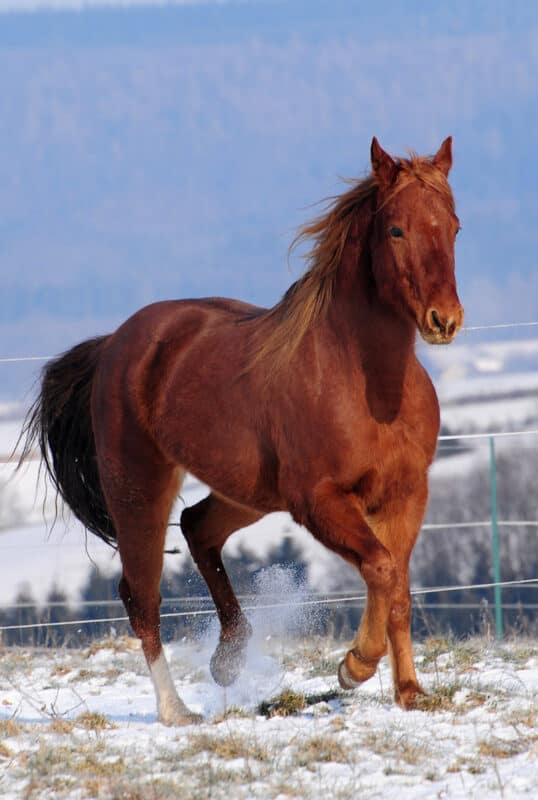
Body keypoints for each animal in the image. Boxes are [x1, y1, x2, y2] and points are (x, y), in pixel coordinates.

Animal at [21, 138, 460, 724]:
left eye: (454, 225)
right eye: (396, 230)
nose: (445, 320)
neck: (368, 383)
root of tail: (115, 343)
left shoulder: (405, 494)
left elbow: (398, 587)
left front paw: (410, 692)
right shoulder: (318, 500)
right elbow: (382, 568)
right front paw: (354, 666)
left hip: (248, 493)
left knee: (197, 528)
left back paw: (228, 656)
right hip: (139, 491)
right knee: (142, 596)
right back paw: (176, 711)